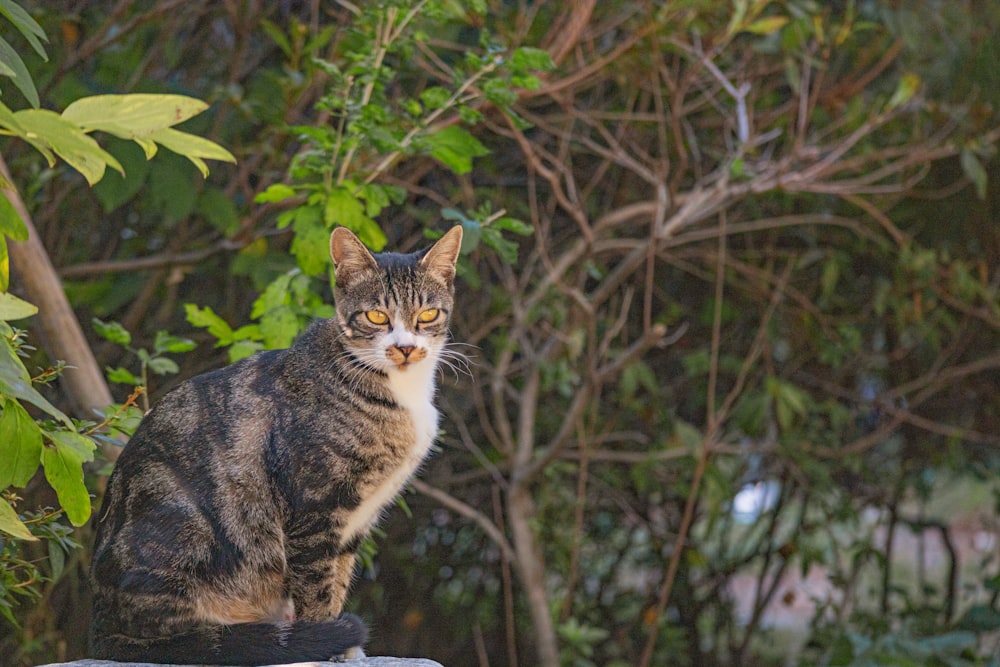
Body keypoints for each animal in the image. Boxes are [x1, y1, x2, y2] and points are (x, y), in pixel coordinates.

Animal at [90, 224, 464, 664]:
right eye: (376, 315)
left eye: (428, 314)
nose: (405, 348)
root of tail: (99, 627)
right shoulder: (315, 508)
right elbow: (316, 586)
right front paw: (324, 640)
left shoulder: (353, 522)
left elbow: (337, 580)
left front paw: (343, 647)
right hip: (182, 531)